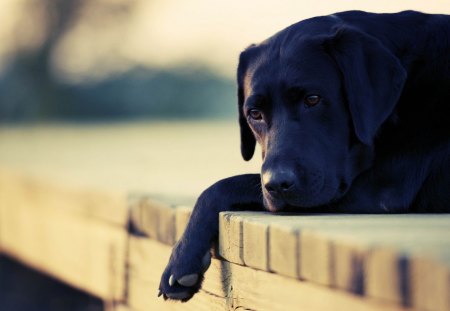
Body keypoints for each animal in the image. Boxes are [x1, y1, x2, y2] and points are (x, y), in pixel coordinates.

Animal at [159, 11, 450, 302]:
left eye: (312, 99)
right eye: (254, 113)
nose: (277, 184)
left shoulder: (380, 190)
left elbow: (222, 185)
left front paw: (182, 259)